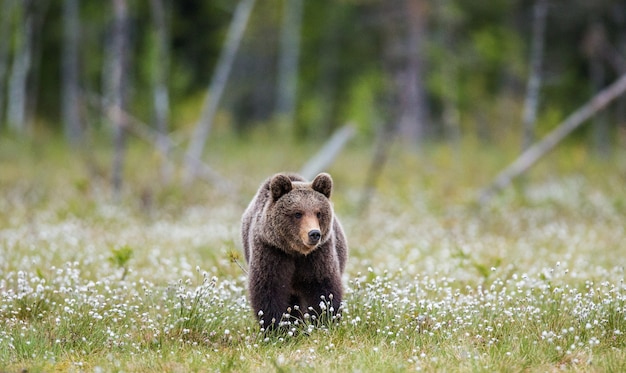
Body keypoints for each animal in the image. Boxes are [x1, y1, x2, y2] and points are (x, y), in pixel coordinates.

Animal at [240, 171, 346, 328]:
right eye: (297, 213)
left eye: (318, 213)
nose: (314, 234)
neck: (295, 251)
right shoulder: (271, 251)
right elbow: (269, 290)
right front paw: (276, 327)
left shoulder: (318, 255)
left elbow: (323, 287)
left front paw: (326, 321)